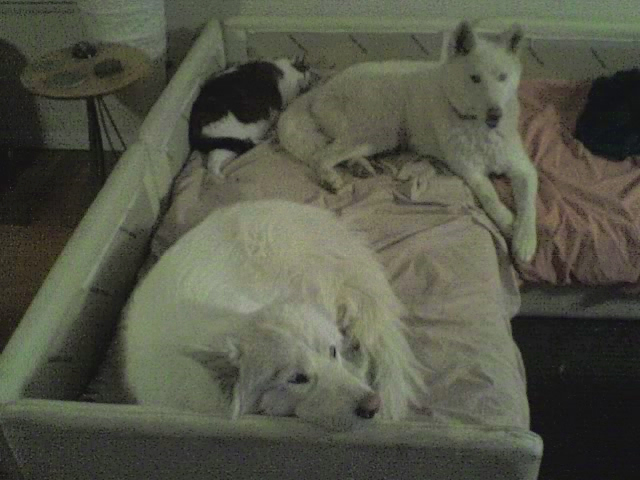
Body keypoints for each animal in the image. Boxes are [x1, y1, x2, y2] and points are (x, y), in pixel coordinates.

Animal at [278, 20, 536, 262]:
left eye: (502, 77)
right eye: (475, 78)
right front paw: (507, 221)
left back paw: (360, 166)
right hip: (380, 130)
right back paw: (331, 177)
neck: (478, 127)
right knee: (321, 155)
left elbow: (528, 204)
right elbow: (489, 196)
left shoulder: (524, 169)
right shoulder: (470, 172)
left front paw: (524, 241)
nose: (495, 114)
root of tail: (322, 88)